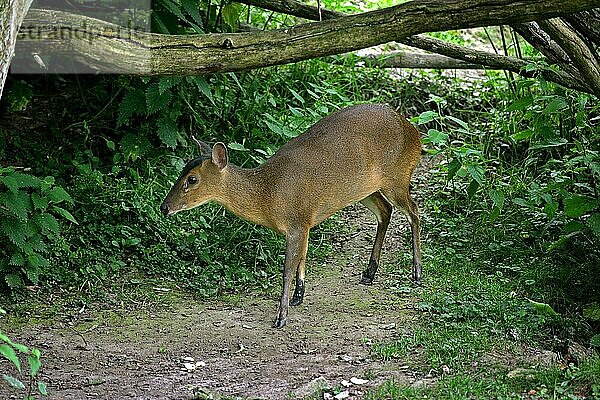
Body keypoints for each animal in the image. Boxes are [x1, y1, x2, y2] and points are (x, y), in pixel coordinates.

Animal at [159, 103, 422, 328]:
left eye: (192, 179)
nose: (164, 207)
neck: (268, 194)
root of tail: (415, 132)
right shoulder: (305, 222)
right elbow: (302, 259)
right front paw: (298, 297)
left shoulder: (296, 222)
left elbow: (287, 269)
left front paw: (281, 317)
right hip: (363, 189)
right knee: (385, 211)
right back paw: (369, 273)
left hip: (397, 177)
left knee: (414, 211)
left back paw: (417, 272)